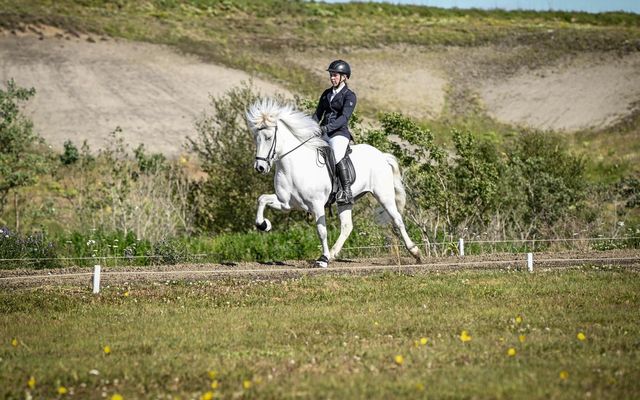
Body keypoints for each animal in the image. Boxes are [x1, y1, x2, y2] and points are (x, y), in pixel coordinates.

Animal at [245, 98, 420, 268]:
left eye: (268, 138)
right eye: (256, 138)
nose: (260, 167)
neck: (294, 166)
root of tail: (381, 155)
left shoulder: (316, 204)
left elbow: (322, 231)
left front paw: (323, 259)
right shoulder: (286, 203)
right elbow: (262, 199)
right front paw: (264, 225)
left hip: (384, 195)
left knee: (397, 219)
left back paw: (415, 252)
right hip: (346, 201)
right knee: (347, 226)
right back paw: (334, 253)